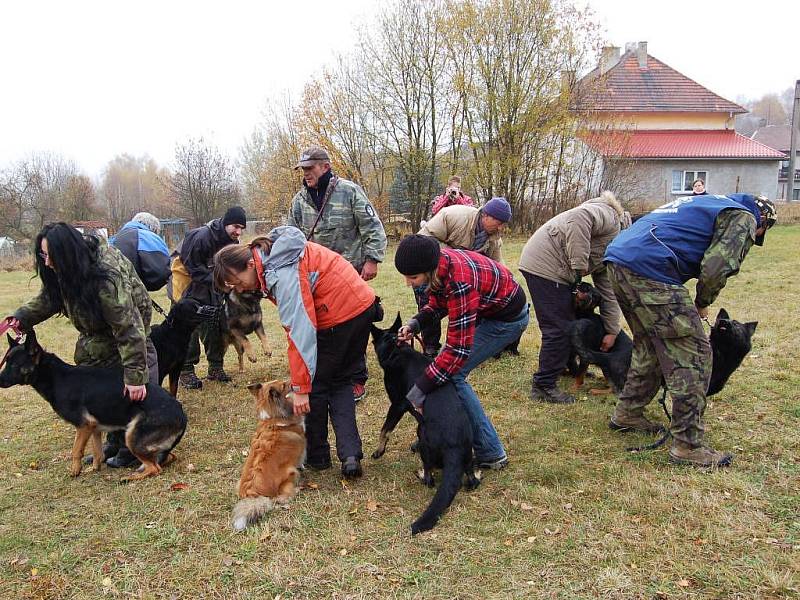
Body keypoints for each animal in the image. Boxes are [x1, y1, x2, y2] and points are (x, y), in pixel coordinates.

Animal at [0, 330, 187, 480]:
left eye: (14, 365)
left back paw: (130, 477)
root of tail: (182, 415)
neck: (55, 377)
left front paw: (75, 472)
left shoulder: (83, 426)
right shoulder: (95, 428)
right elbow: (98, 452)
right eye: (6, 362)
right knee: (167, 458)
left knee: (155, 468)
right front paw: (94, 469)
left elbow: (76, 451)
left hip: (132, 436)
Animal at [233, 380, 308, 528]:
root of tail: (253, 494)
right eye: (284, 385)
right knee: (282, 498)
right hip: (291, 472)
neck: (273, 418)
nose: (293, 383)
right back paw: (297, 489)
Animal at [370, 314, 478, 536]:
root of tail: (454, 447)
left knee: (430, 479)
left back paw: (421, 474)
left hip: (422, 434)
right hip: (467, 455)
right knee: (472, 480)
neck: (395, 348)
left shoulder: (398, 404)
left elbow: (385, 429)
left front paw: (379, 451)